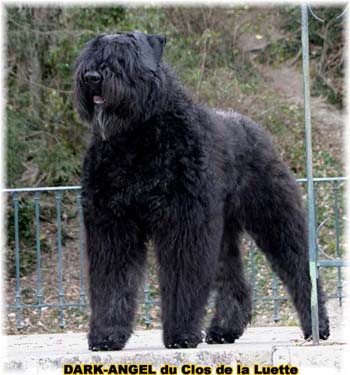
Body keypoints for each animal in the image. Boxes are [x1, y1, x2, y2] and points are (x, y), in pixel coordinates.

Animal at [74, 30, 330, 352]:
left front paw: (181, 334)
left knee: (299, 269)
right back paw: (224, 329)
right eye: (90, 52)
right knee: (233, 281)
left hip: (273, 218)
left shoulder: (184, 223)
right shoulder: (113, 226)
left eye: (125, 56)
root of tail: (254, 128)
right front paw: (107, 335)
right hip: (221, 231)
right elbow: (113, 282)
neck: (135, 139)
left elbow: (183, 279)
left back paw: (317, 327)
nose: (92, 76)